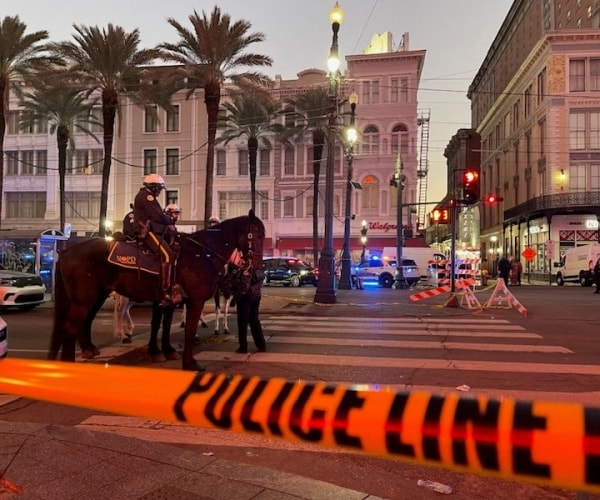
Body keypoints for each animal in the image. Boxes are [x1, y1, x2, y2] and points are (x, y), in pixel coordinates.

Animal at [47, 209, 262, 370]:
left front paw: (165, 351)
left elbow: (164, 325)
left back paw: (90, 349)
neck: (201, 253)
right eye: (256, 234)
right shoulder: (195, 300)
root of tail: (66, 251)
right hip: (85, 299)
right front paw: (189, 362)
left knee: (85, 322)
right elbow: (188, 329)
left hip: (95, 296)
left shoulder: (170, 300)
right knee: (72, 327)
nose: (256, 267)